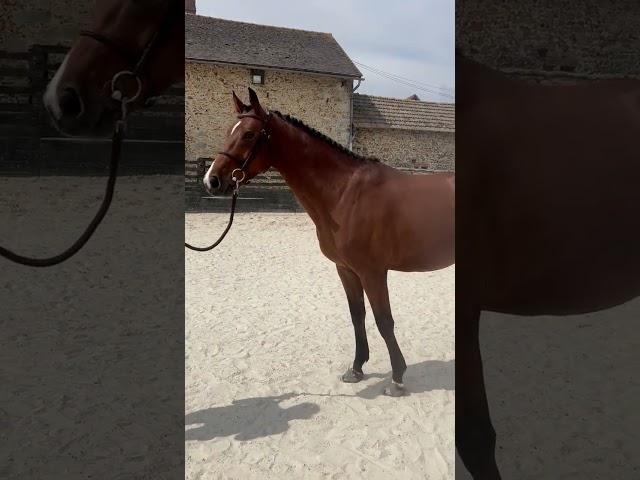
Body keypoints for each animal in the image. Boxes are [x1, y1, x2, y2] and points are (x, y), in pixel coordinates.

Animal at [202, 88, 455, 396]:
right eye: (230, 130)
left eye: (249, 134)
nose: (212, 180)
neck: (345, 192)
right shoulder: (346, 270)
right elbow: (357, 315)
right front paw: (357, 368)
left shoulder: (372, 272)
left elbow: (384, 321)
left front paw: (397, 378)